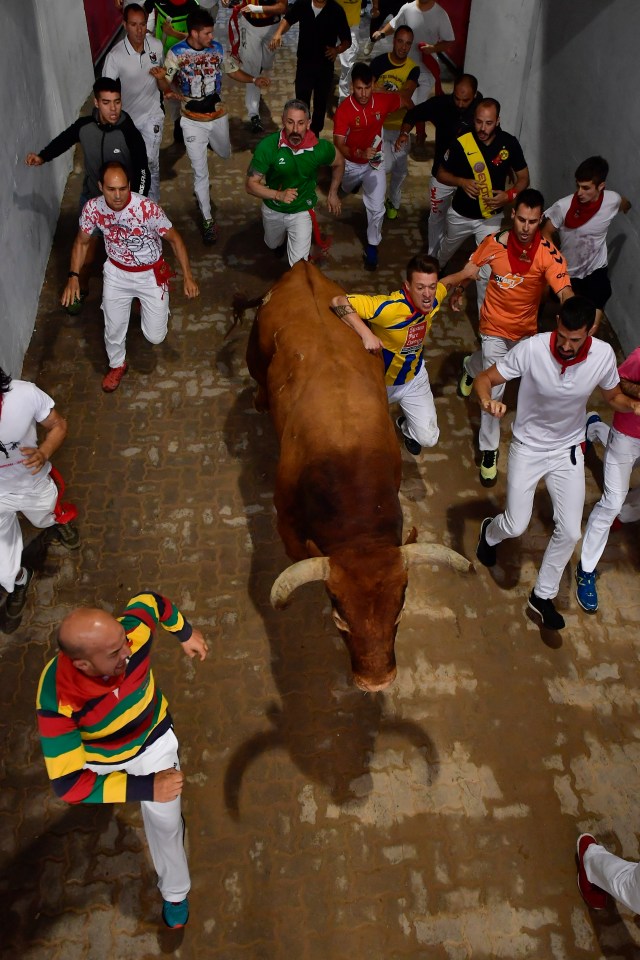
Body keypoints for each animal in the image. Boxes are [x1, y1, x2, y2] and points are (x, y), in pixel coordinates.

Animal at [245, 258, 470, 688]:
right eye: (339, 616)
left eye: (399, 610)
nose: (376, 680)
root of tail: (302, 268)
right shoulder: (286, 520)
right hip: (255, 355)